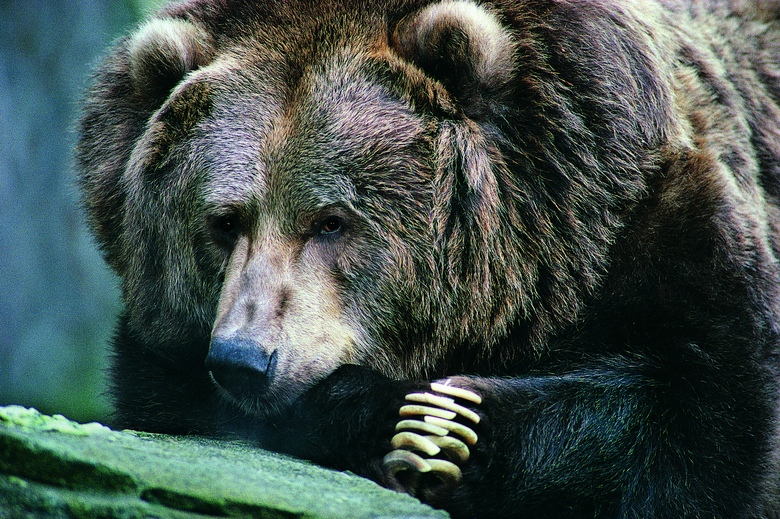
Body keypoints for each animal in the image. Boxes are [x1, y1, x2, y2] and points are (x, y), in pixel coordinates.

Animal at [77, 0, 780, 516]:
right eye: (225, 221)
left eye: (331, 220)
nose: (244, 359)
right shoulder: (165, 342)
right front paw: (402, 421)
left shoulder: (653, 216)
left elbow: (698, 420)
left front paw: (453, 425)